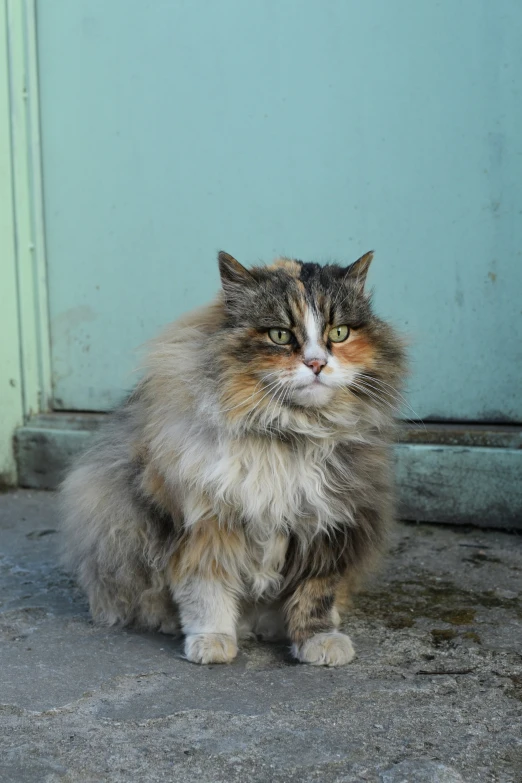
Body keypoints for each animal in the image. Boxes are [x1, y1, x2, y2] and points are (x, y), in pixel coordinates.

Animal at [59, 251, 404, 668]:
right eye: (280, 335)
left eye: (338, 333)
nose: (317, 364)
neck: (287, 437)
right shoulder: (205, 524)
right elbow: (206, 592)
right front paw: (212, 641)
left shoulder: (330, 525)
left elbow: (315, 596)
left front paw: (318, 641)